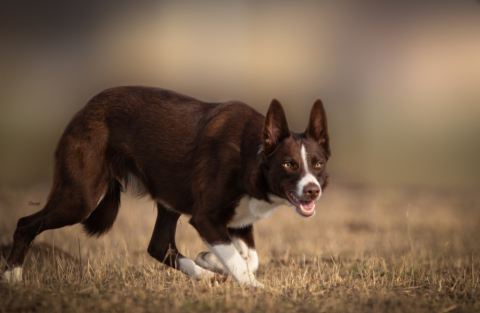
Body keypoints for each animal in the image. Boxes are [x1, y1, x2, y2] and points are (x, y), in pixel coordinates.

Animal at [0, 86, 330, 286]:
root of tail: (83, 109)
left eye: (317, 164)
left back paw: (202, 275)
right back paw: (13, 277)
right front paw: (250, 285)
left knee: (159, 245)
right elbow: (239, 260)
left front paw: (210, 261)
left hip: (167, 197)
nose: (312, 190)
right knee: (26, 223)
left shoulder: (239, 221)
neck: (253, 155)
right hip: (81, 198)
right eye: (288, 164)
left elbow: (251, 257)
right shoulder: (206, 219)